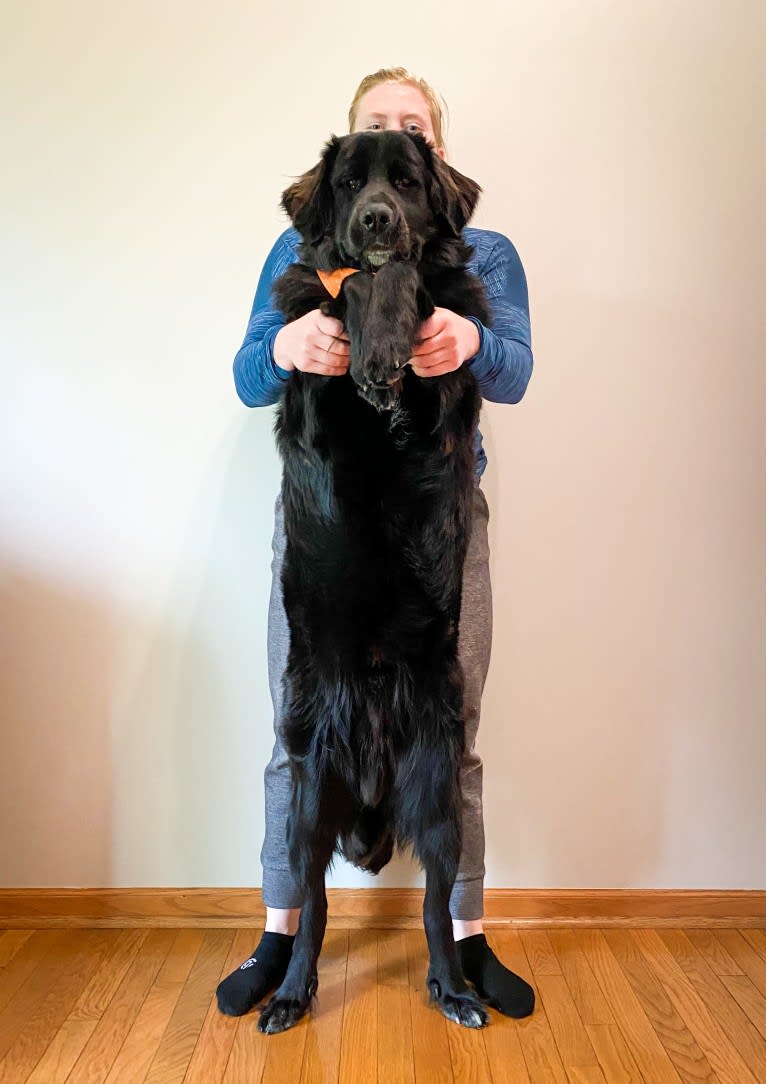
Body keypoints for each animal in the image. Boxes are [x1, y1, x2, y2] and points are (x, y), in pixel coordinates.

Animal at [258, 133, 491, 1031]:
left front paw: (388, 339)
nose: (376, 219)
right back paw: (290, 992)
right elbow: (349, 279)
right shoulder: (313, 390)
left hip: (441, 792)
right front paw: (372, 337)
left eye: (408, 181)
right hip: (304, 796)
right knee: (314, 909)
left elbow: (401, 279)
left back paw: (455, 990)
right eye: (350, 183)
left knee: (434, 905)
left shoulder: (448, 386)